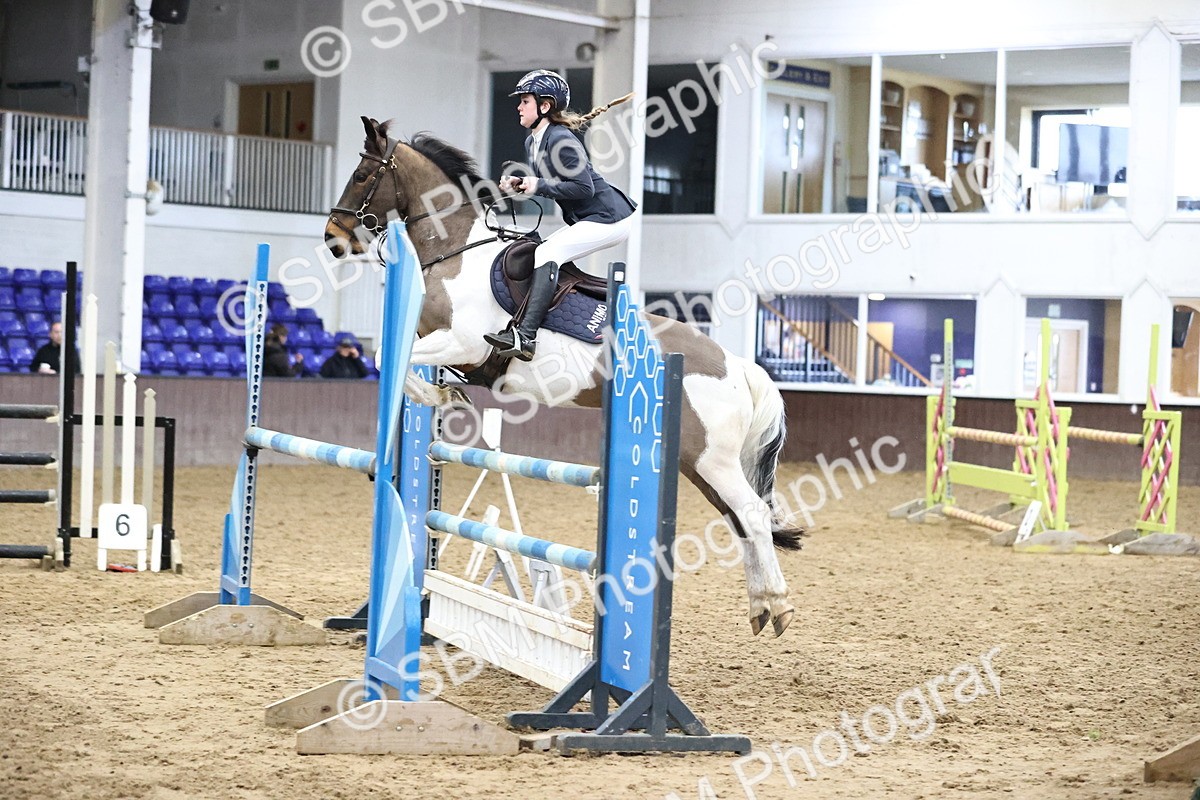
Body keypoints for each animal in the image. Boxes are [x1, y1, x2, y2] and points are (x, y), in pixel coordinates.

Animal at [325, 116, 802, 637]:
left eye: (363, 176)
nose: (333, 237)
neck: (456, 251)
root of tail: (734, 364)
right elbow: (393, 358)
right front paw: (447, 395)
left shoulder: (464, 343)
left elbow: (392, 359)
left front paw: (443, 397)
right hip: (696, 462)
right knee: (740, 519)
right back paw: (761, 606)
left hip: (711, 458)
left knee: (751, 513)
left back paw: (778, 605)